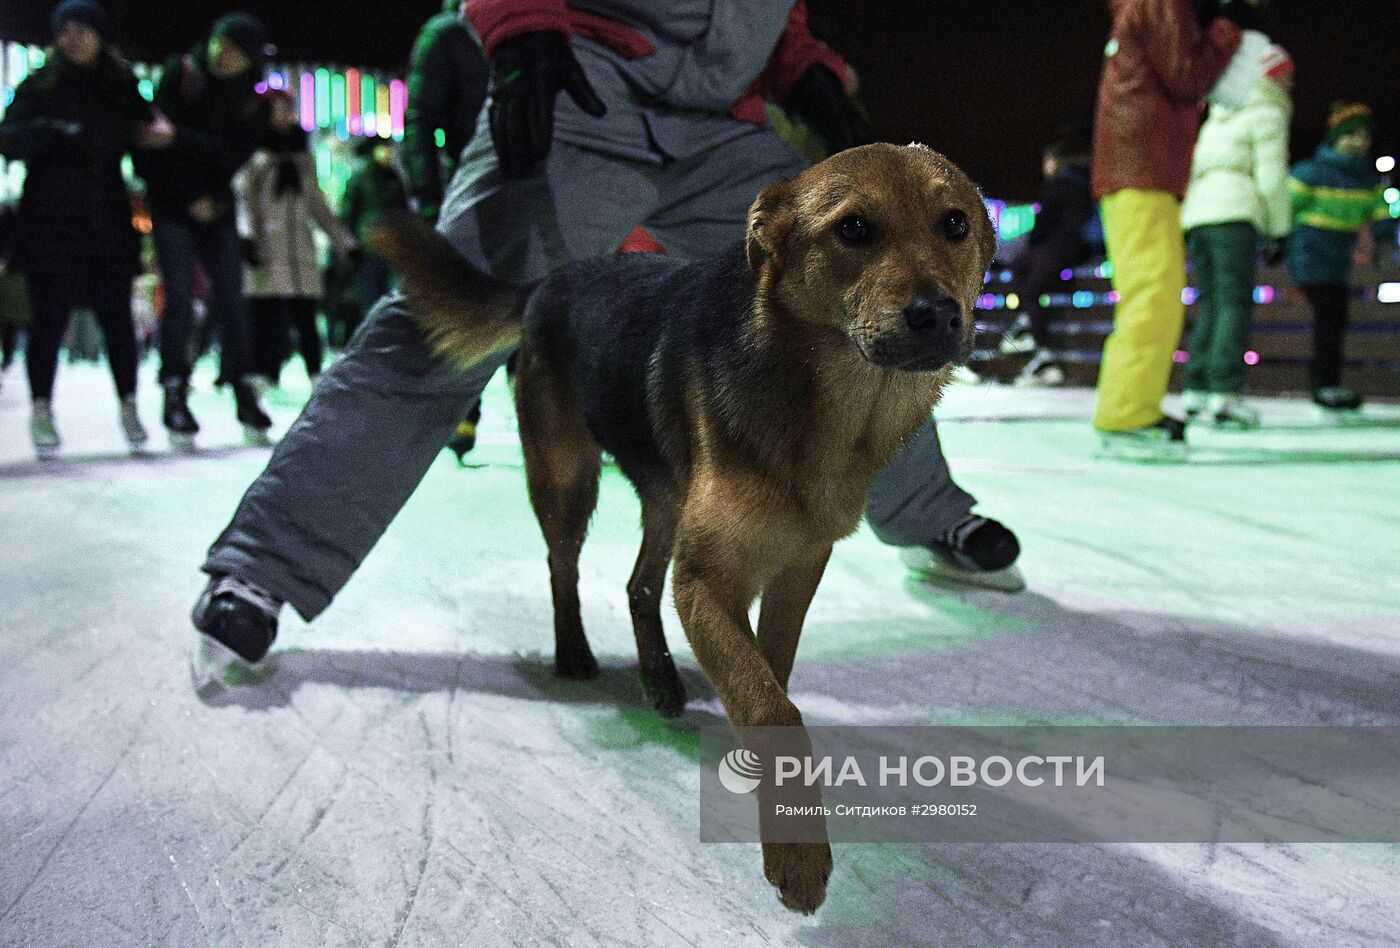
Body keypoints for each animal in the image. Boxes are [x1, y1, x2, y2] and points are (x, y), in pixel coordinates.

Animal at [375, 144, 996, 912]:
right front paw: (798, 856)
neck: (827, 408)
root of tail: (552, 278)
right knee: (563, 565)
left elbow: (772, 672)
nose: (938, 314)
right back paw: (575, 652)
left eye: (955, 224)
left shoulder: (798, 566)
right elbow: (774, 708)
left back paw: (662, 678)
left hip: (668, 502)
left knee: (638, 585)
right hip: (569, 479)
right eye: (854, 229)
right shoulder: (705, 580)